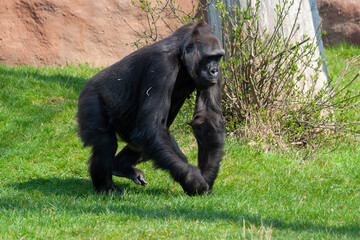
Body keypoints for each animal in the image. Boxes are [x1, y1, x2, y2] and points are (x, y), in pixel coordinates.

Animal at [77, 21, 225, 196]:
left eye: (218, 57)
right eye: (209, 57)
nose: (214, 70)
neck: (181, 55)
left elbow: (207, 118)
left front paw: (207, 177)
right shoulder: (161, 64)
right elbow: (151, 126)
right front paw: (192, 179)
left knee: (146, 138)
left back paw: (120, 167)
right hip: (90, 95)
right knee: (105, 142)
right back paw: (105, 187)